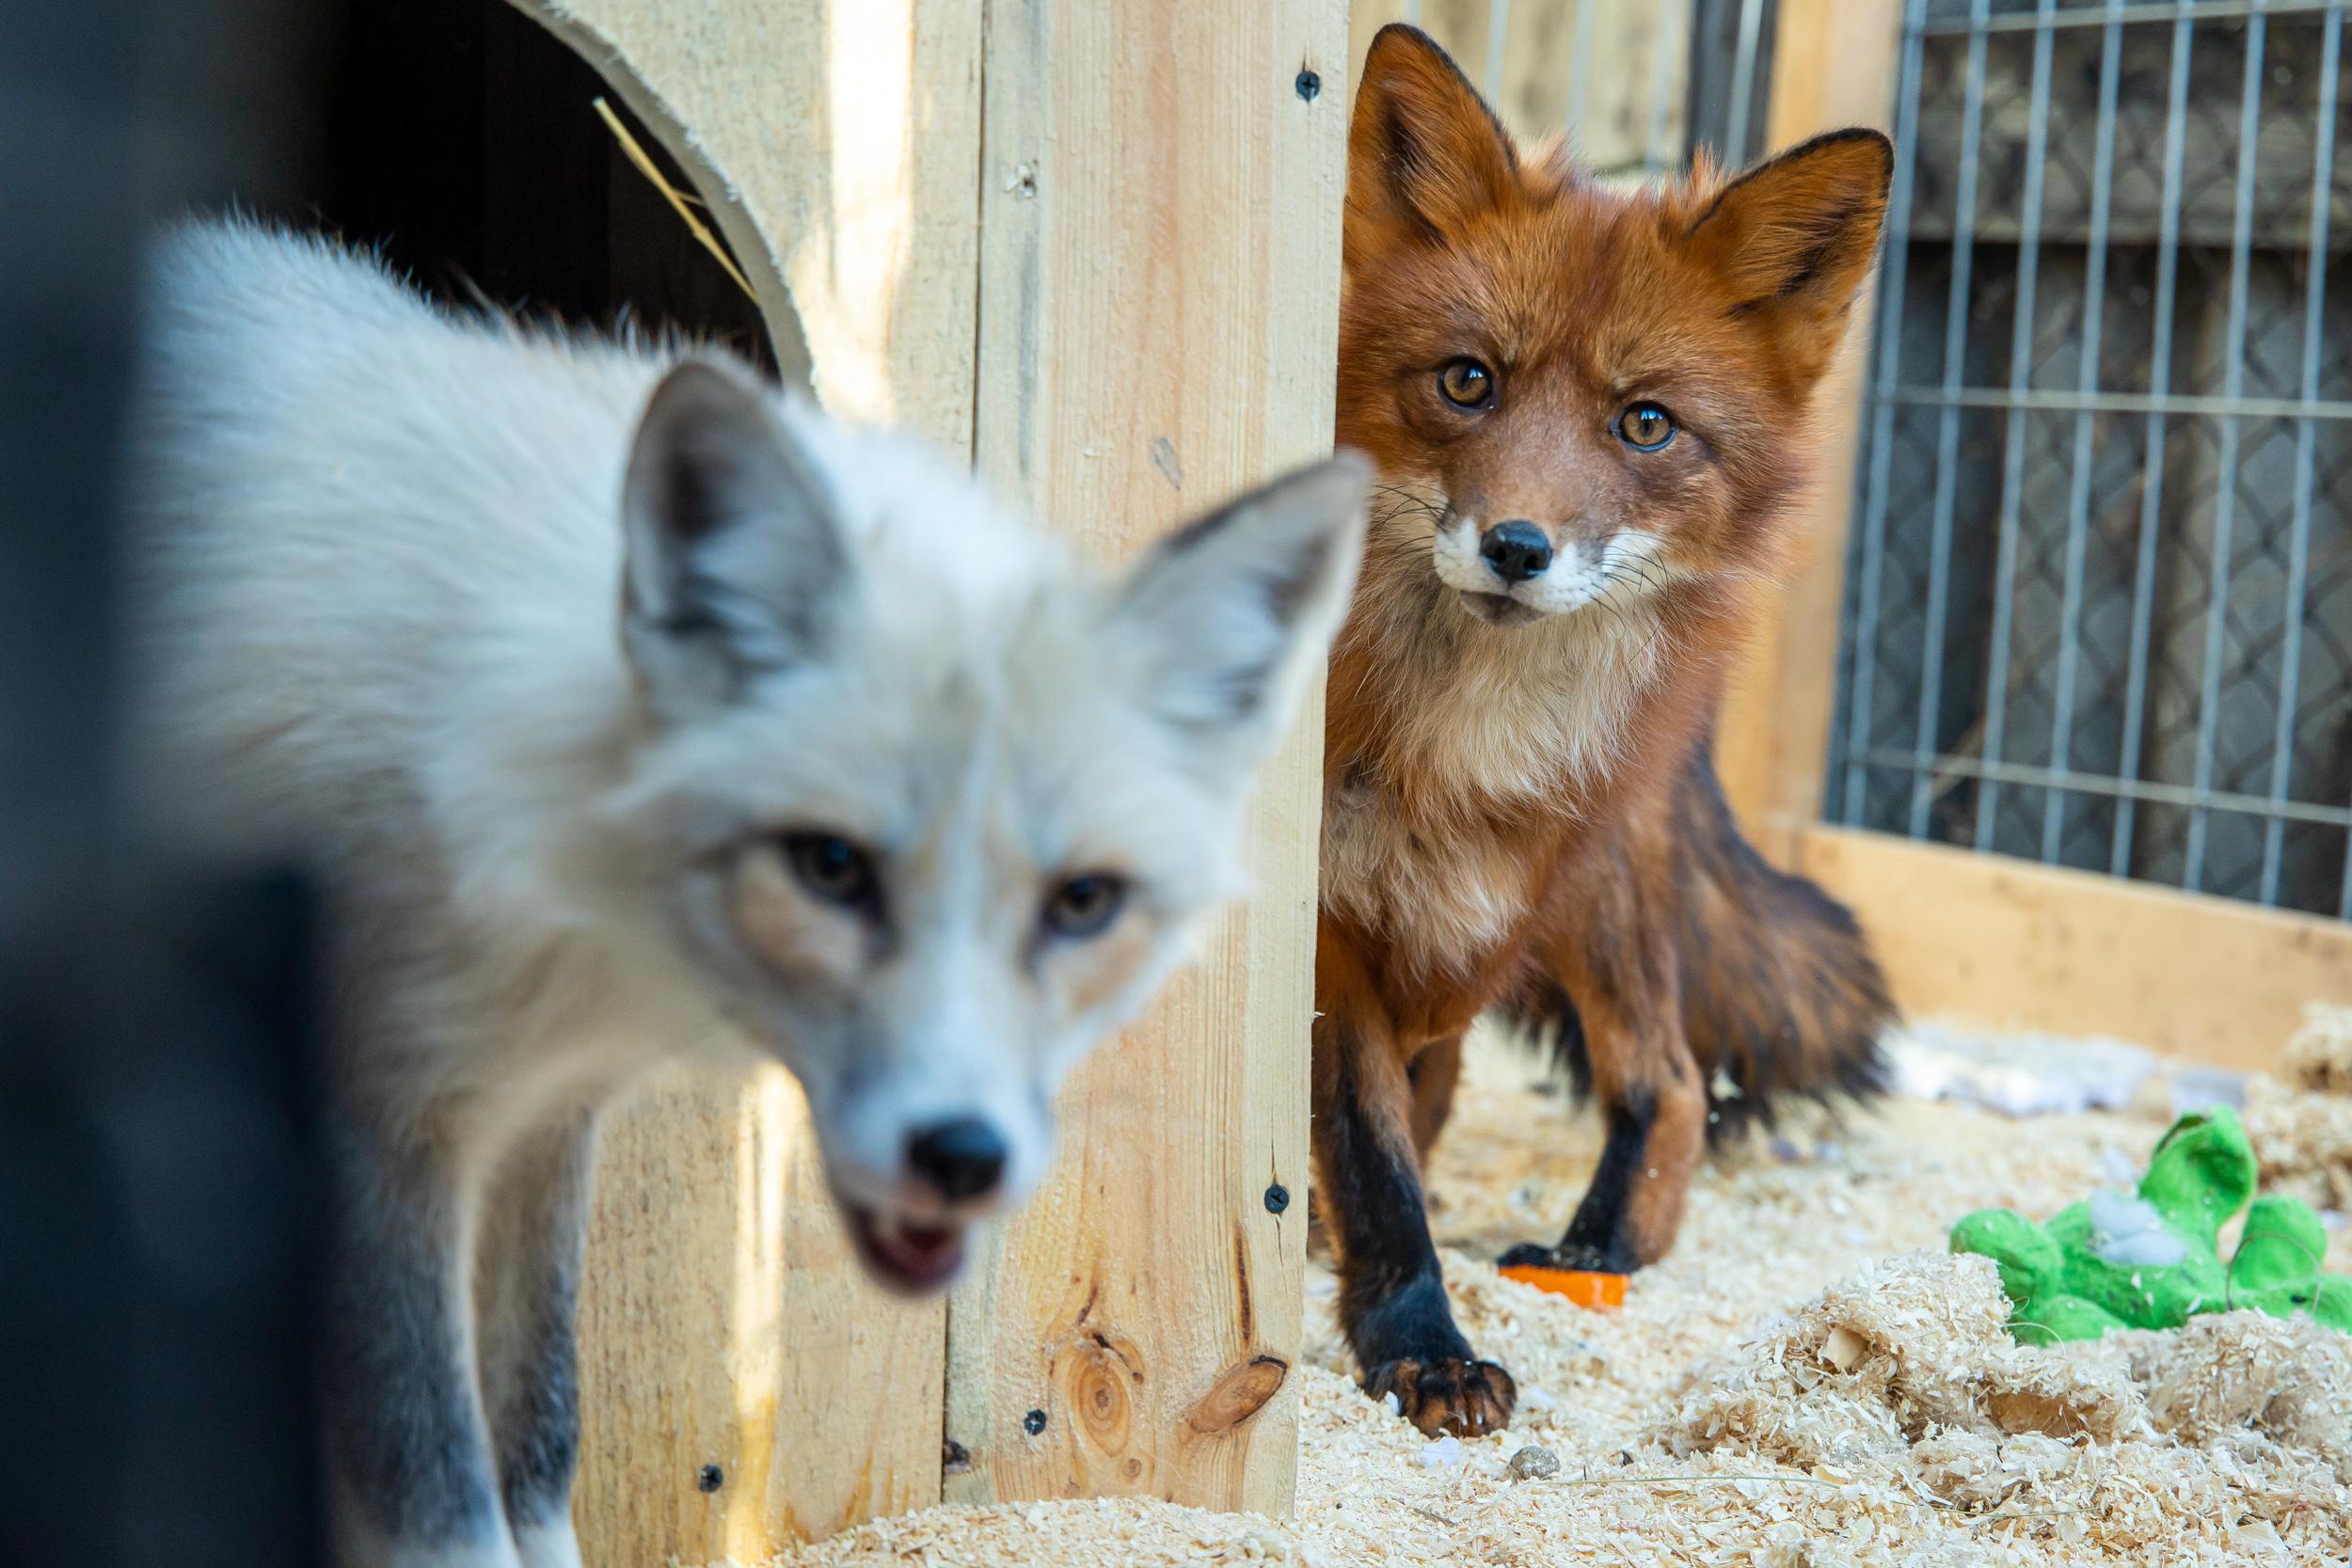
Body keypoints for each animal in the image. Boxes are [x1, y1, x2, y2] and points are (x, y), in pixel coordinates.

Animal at [128, 223, 1374, 1568]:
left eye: (1082, 900)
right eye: (831, 866)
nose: (961, 1153)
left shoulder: (544, 1112)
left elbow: (543, 1434)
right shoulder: (376, 1129)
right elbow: (438, 1502)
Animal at [1317, 24, 1900, 1438]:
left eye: (1645, 422)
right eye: (1467, 380)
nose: (1516, 547)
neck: (1454, 739)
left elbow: (1393, 1136)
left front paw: (1417, 1340)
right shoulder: (1337, 925)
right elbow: (1375, 1153)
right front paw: (1414, 1334)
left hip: (1596, 882)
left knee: (1670, 1077)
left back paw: (1599, 1251)